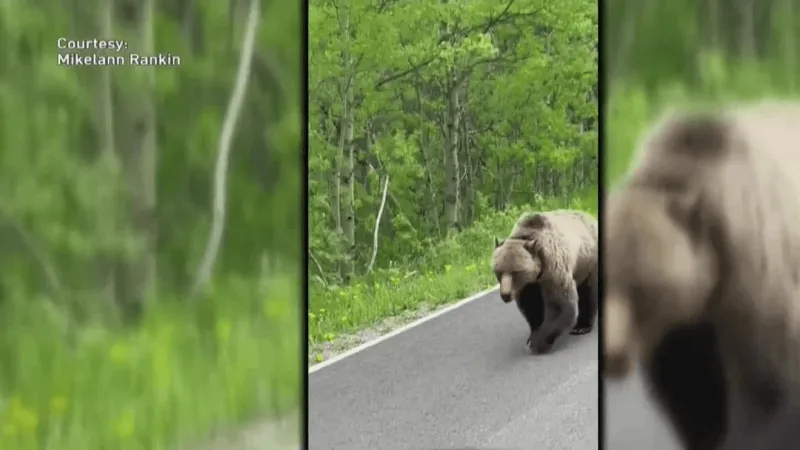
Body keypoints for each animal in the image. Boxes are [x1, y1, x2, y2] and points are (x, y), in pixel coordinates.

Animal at [492, 209, 598, 354]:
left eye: (515, 272)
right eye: (498, 272)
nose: (505, 295)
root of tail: (590, 217)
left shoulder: (553, 269)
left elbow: (560, 305)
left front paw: (537, 342)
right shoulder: (528, 286)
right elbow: (532, 306)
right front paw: (533, 334)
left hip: (588, 260)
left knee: (588, 291)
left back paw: (581, 326)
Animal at [603, 102, 800, 450]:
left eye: (640, 288)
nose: (611, 355)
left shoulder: (763, 291)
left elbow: (768, 396)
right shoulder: (685, 332)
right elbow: (695, 397)